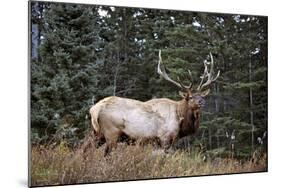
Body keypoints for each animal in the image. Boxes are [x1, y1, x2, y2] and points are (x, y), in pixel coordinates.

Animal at [89, 50, 219, 156]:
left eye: (202, 95)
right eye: (190, 97)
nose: (202, 101)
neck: (180, 119)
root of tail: (94, 109)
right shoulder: (165, 138)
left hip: (97, 133)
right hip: (112, 133)